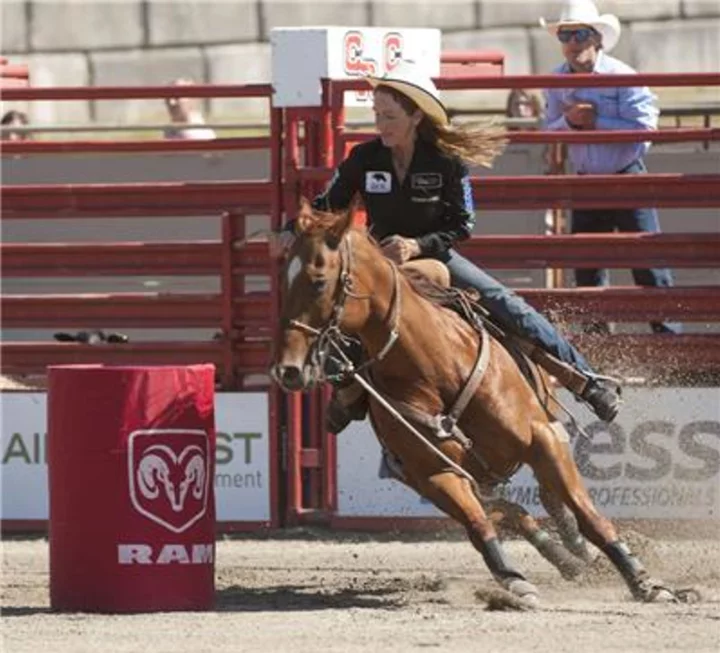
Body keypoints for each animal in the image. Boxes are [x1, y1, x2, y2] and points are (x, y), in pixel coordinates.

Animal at [272, 200, 688, 608]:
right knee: (513, 512)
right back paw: (566, 558)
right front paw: (514, 582)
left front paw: (646, 583)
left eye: (318, 281)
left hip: (546, 422)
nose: (288, 370)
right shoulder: (434, 473)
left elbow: (588, 514)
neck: (436, 364)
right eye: (283, 281)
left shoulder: (542, 437)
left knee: (549, 497)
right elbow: (479, 525)